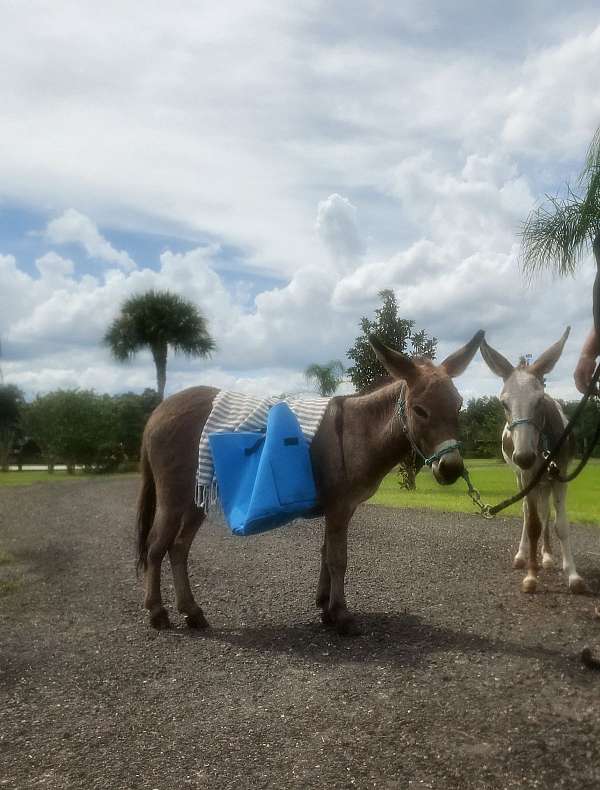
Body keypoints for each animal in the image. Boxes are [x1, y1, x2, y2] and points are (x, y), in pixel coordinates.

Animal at [136, 330, 484, 635]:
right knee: (156, 547)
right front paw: (342, 617)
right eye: (420, 410)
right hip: (172, 497)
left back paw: (192, 613)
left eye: (459, 406)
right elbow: (338, 559)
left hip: (196, 497)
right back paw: (157, 613)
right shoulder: (339, 506)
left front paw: (325, 608)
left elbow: (325, 553)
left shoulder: (342, 507)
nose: (452, 469)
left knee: (178, 548)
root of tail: (156, 412)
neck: (360, 431)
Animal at [480, 328, 586, 595]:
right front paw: (531, 576)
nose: (524, 457)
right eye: (503, 403)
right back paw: (522, 556)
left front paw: (572, 575)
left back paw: (547, 557)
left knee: (546, 512)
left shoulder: (560, 474)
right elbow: (533, 525)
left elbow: (561, 525)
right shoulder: (527, 476)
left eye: (540, 401)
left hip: (546, 480)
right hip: (524, 479)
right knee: (529, 513)